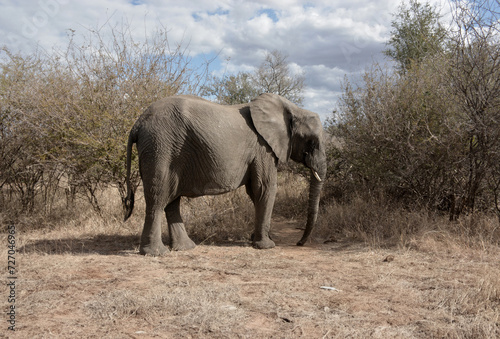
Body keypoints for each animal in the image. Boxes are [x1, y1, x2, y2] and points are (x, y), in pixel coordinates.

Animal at [124, 92, 328, 255]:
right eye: (311, 142)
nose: (299, 243)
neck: (291, 108)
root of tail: (137, 123)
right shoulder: (263, 148)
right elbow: (264, 188)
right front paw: (266, 245)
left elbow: (255, 192)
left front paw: (256, 238)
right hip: (160, 147)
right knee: (158, 198)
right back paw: (156, 253)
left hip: (164, 150)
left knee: (172, 201)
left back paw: (185, 247)